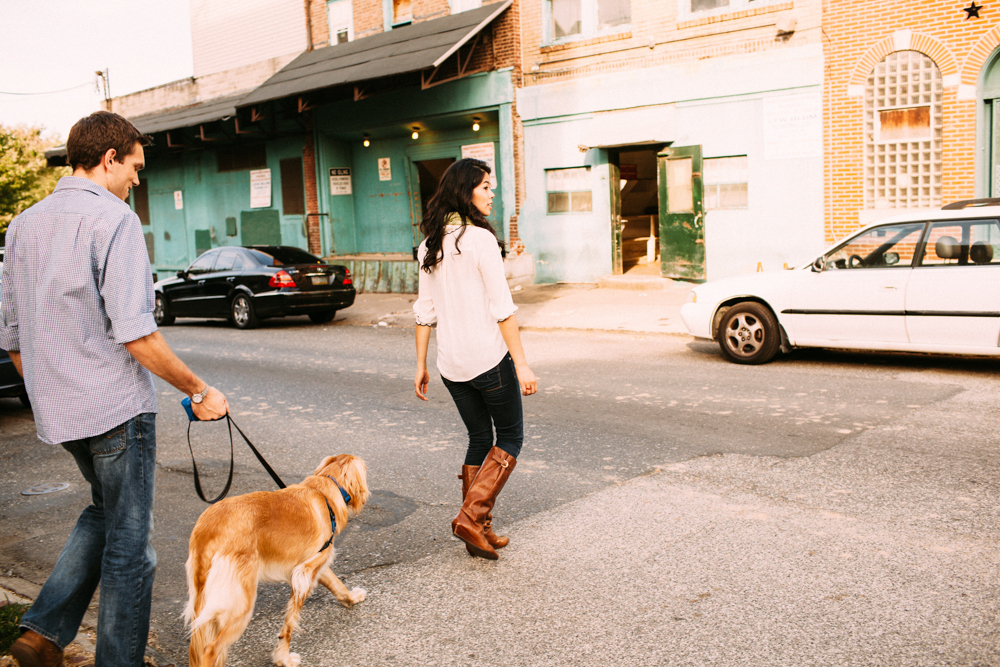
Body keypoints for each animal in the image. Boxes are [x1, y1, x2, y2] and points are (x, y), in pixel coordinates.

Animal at [183, 454, 368, 667]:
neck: (324, 491)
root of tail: (208, 529)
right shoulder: (303, 574)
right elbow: (289, 624)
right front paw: (284, 658)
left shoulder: (314, 563)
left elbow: (338, 585)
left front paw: (352, 597)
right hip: (241, 604)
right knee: (210, 650)